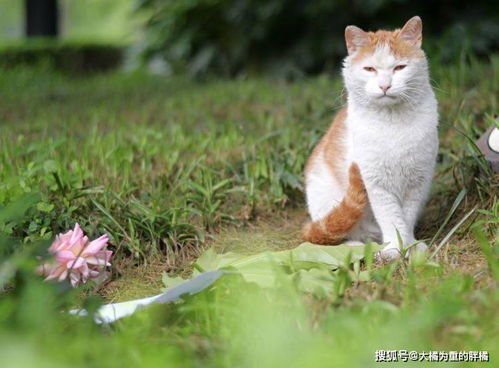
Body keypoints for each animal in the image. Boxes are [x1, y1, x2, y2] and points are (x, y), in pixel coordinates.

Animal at [302, 16, 440, 258]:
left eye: (399, 67)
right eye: (369, 69)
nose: (385, 85)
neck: (392, 123)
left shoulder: (416, 182)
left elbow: (406, 218)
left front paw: (410, 247)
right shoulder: (377, 183)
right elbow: (392, 219)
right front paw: (395, 249)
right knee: (333, 231)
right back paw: (355, 244)